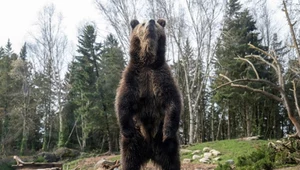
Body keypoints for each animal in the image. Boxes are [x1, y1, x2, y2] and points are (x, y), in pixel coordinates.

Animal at [115, 18, 182, 170]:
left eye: (156, 23)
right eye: (142, 23)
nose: (151, 21)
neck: (148, 62)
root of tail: (151, 151)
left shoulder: (161, 77)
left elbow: (172, 101)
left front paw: (168, 132)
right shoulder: (133, 78)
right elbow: (123, 100)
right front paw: (127, 130)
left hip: (165, 145)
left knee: (172, 161)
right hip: (134, 142)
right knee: (129, 160)